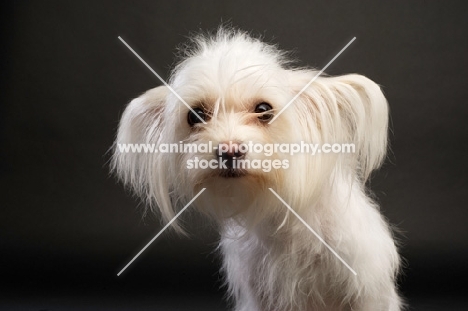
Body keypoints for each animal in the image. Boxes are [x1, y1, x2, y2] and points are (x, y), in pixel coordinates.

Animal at [113, 27, 402, 311]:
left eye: (264, 109)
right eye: (195, 115)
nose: (229, 151)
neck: (284, 219)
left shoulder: (368, 292)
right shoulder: (258, 295)